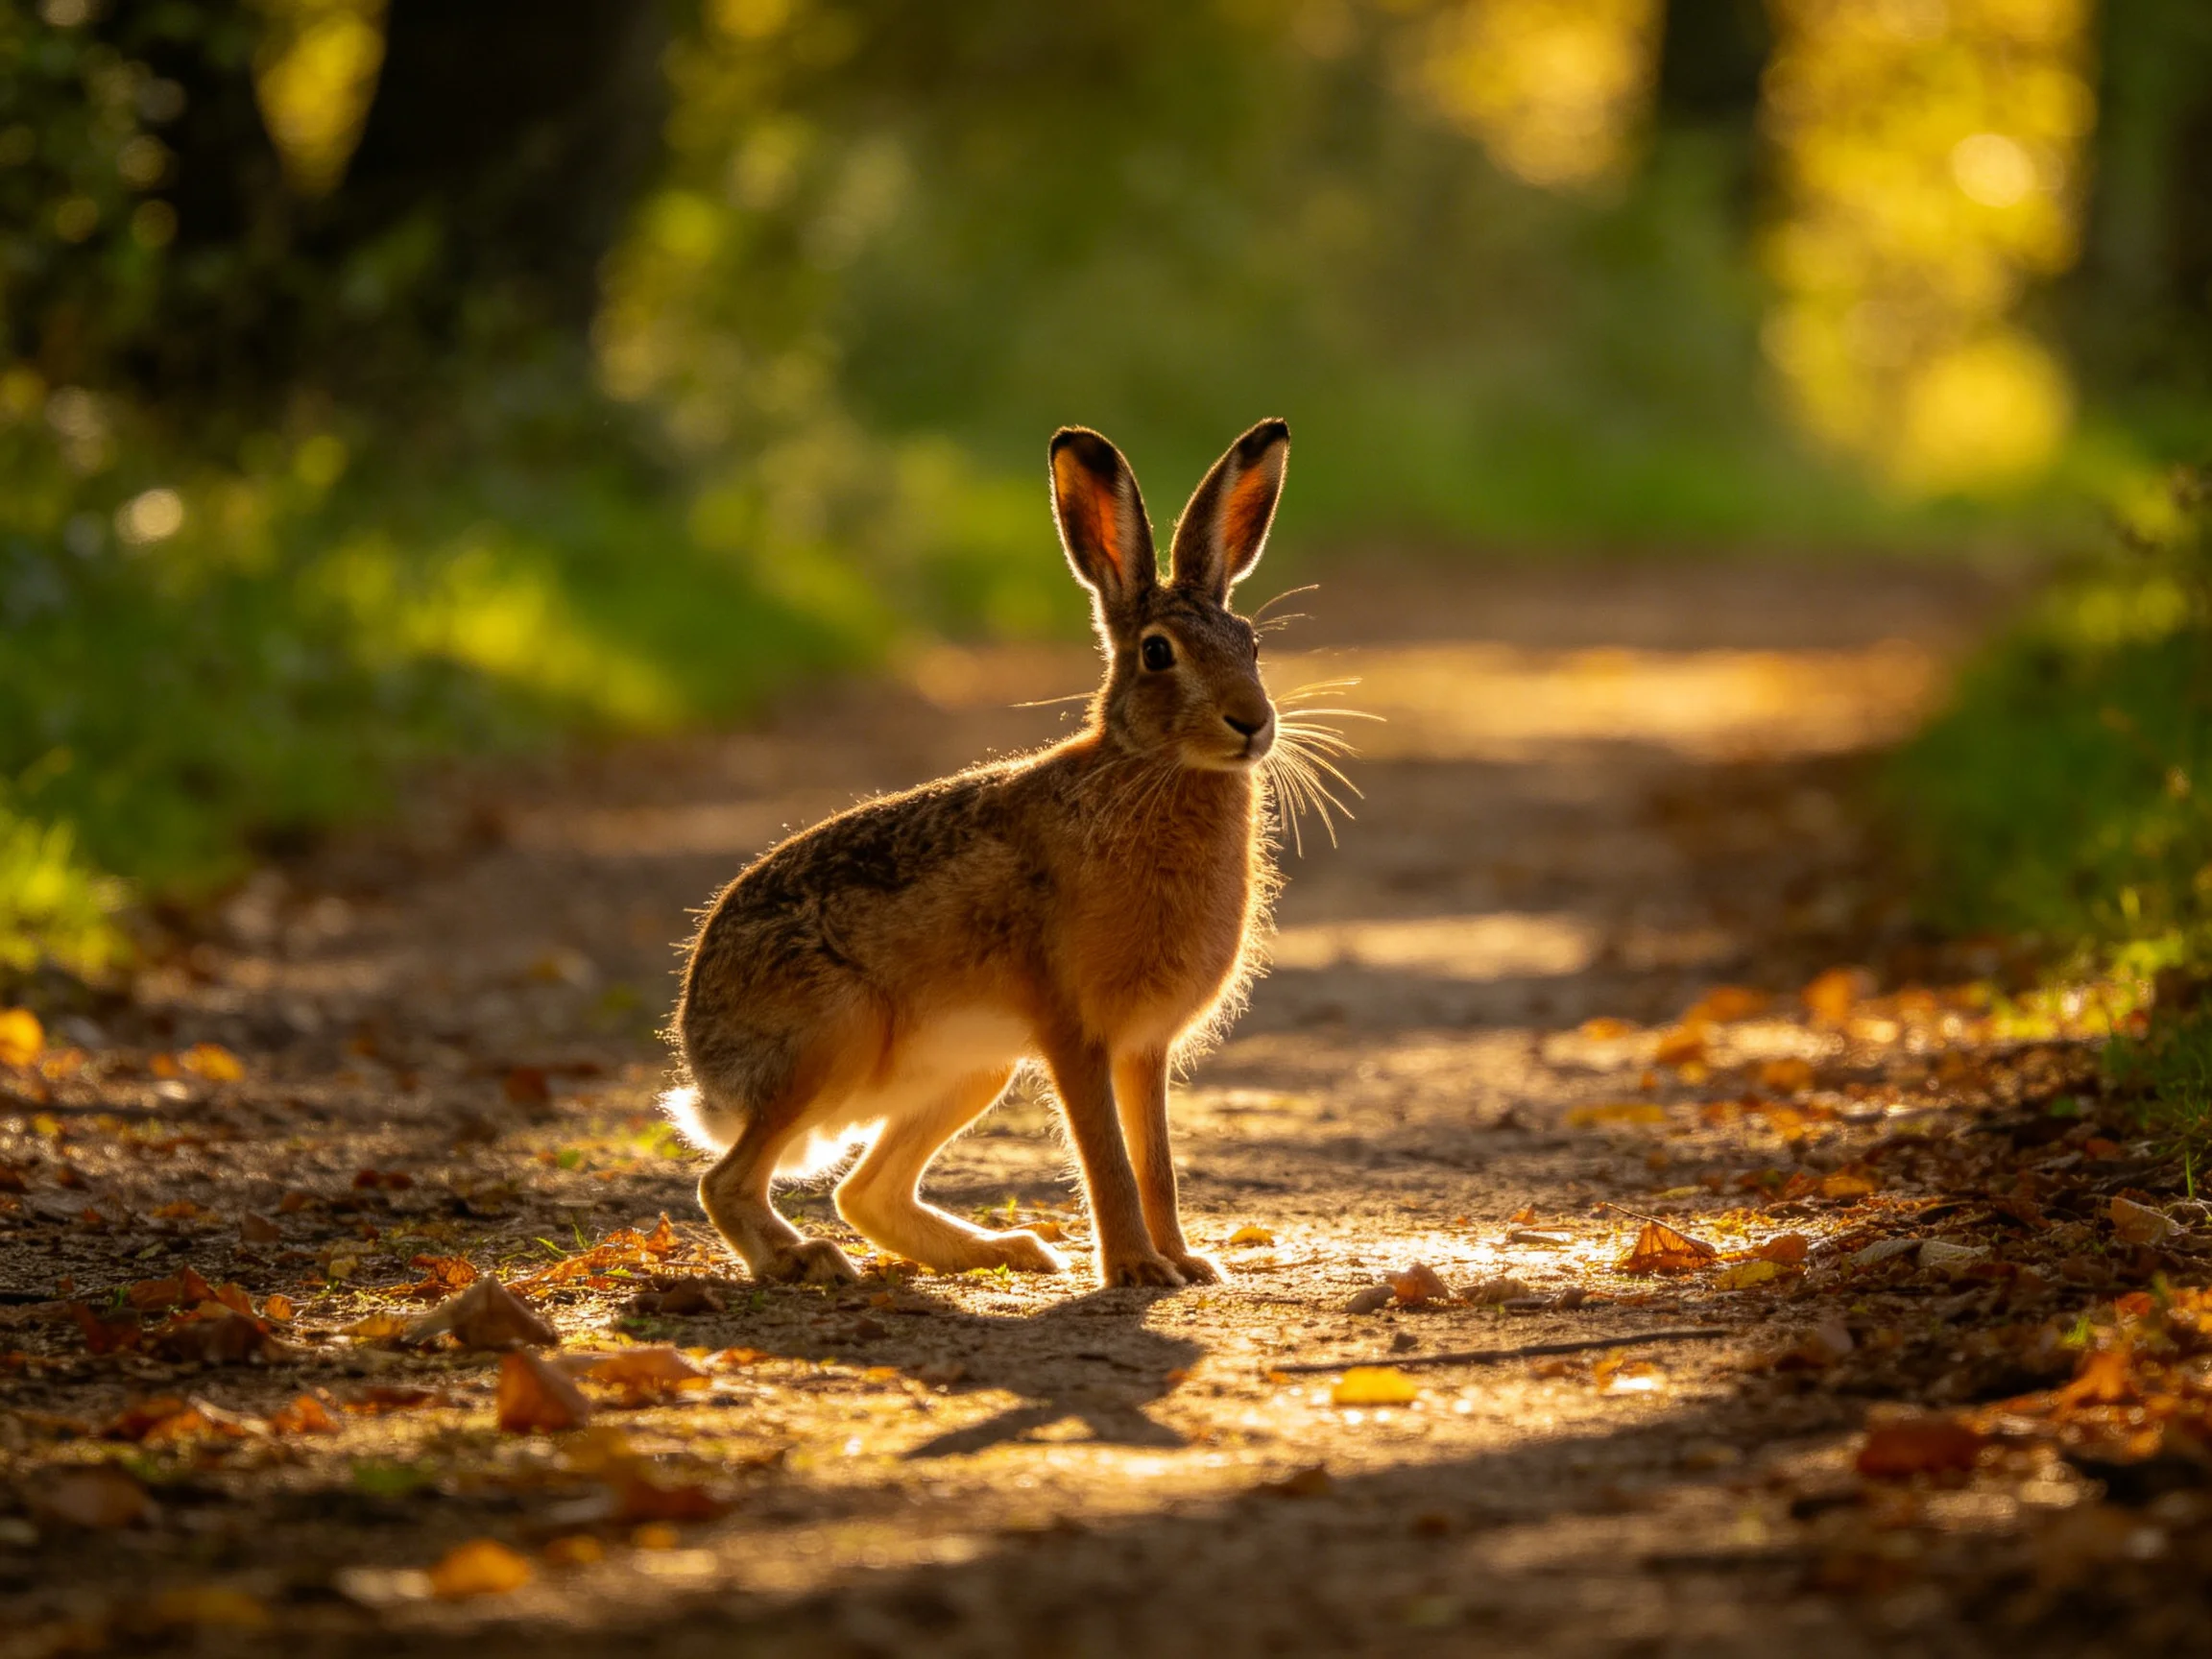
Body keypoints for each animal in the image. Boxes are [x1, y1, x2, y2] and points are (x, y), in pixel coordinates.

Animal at [663, 418, 1314, 1288]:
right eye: (1157, 653)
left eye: (1251, 645)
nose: (1252, 722)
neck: (1148, 767)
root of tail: (707, 1058)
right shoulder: (1074, 1032)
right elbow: (1108, 1159)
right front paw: (1138, 1272)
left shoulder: (1144, 1048)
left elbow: (1158, 1164)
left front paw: (1186, 1262)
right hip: (832, 1041)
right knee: (727, 1181)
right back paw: (806, 1262)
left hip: (971, 1071)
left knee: (865, 1193)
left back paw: (1006, 1250)